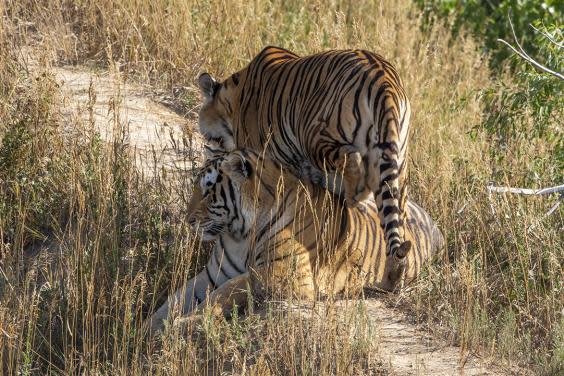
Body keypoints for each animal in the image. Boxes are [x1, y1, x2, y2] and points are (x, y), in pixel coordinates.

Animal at [148, 148, 442, 334]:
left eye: (208, 192)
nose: (188, 220)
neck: (239, 234)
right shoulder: (213, 273)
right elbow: (175, 299)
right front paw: (145, 330)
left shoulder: (282, 276)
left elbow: (229, 290)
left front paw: (186, 323)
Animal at [198, 47, 414, 276]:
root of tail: (385, 82)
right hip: (398, 167)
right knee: (397, 221)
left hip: (315, 136)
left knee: (352, 162)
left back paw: (353, 200)